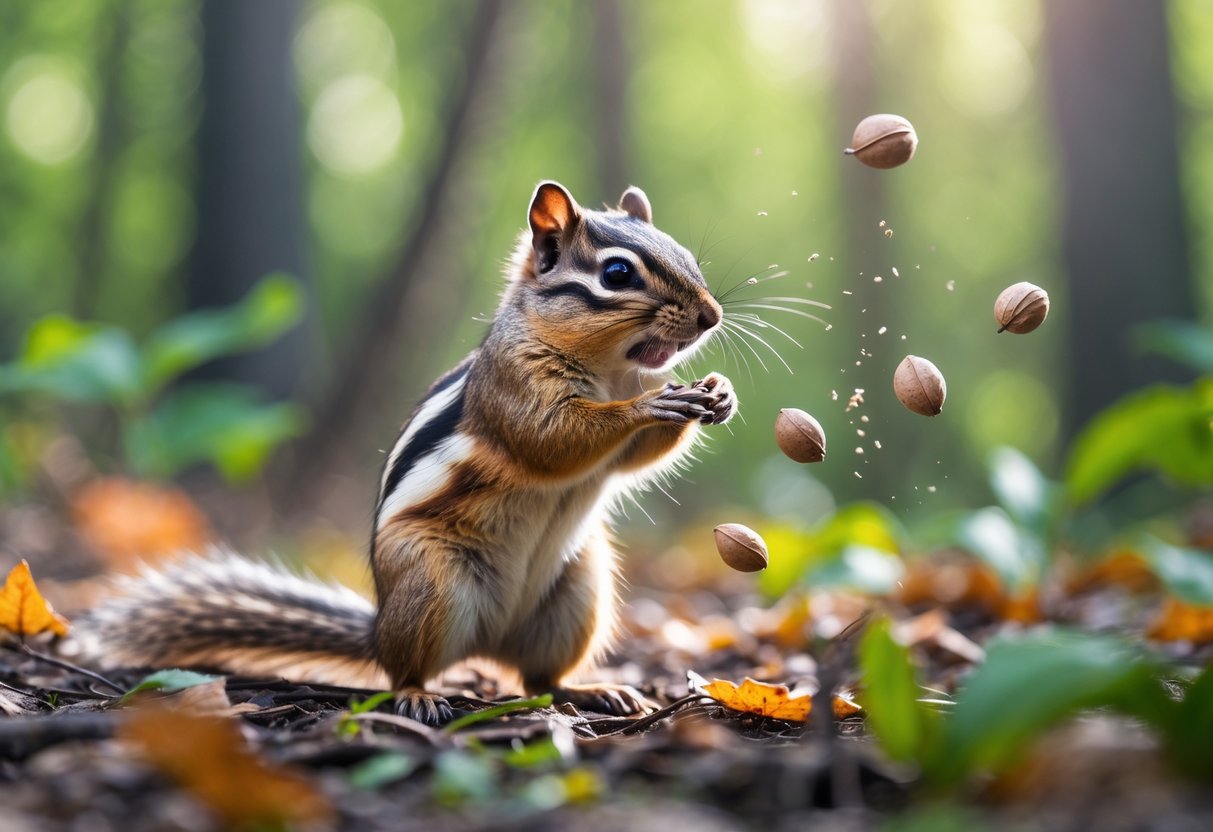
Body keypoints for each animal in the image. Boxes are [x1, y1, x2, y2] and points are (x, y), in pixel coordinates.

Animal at [73, 181, 735, 724]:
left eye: (687, 255)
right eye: (618, 273)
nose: (711, 315)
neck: (611, 370)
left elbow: (628, 460)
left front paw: (718, 393)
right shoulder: (512, 389)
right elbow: (550, 440)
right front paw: (647, 406)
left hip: (577, 591)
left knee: (540, 678)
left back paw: (594, 691)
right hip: (431, 582)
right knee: (404, 672)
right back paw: (419, 696)